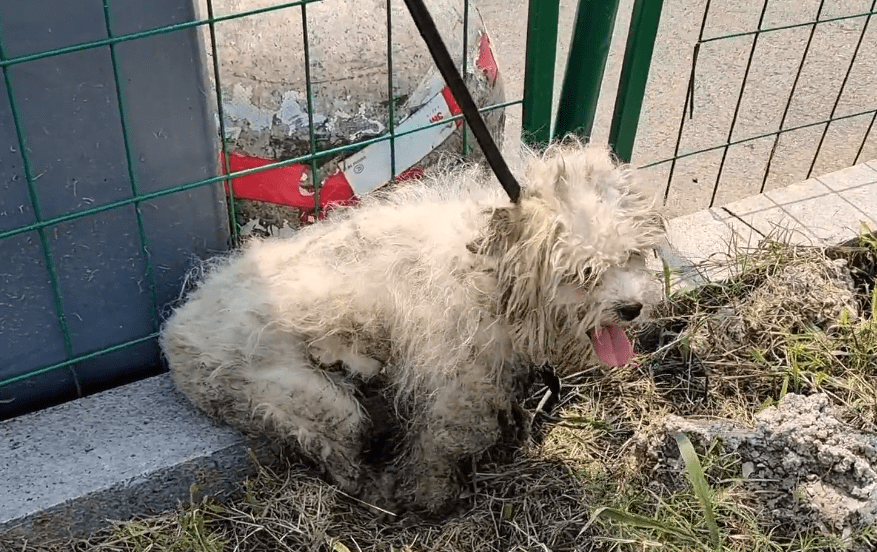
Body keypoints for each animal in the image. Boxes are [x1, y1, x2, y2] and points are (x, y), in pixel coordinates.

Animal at [159, 141, 664, 512]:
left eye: (631, 256)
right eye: (584, 273)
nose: (633, 307)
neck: (488, 268)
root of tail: (177, 332)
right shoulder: (454, 387)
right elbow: (443, 444)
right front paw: (432, 497)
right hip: (312, 400)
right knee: (341, 459)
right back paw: (378, 491)